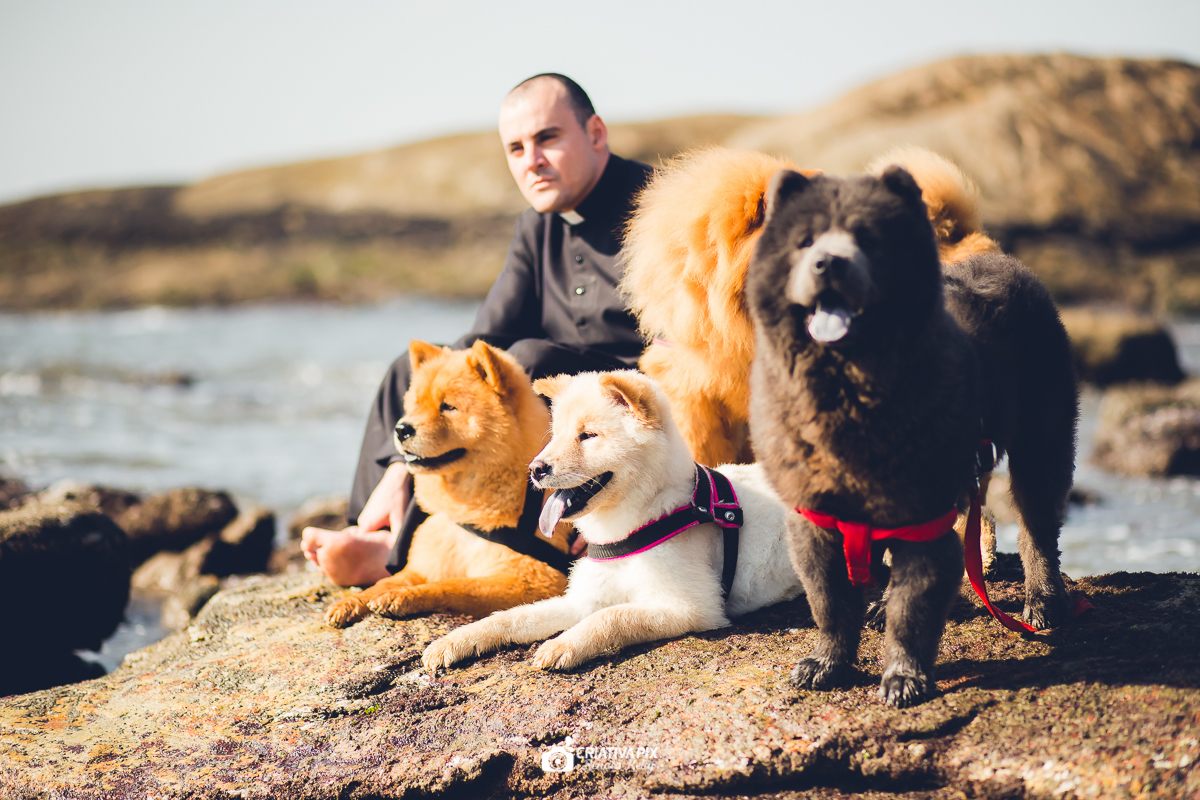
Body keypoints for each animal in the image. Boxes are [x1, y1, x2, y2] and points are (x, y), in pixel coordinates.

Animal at [324, 340, 572, 628]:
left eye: (448, 407)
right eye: (415, 405)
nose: (401, 429)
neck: (467, 510)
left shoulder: (536, 580)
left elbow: (454, 586)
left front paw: (403, 597)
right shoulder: (424, 564)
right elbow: (383, 582)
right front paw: (350, 601)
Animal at [421, 370, 803, 673]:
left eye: (588, 435)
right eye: (556, 435)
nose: (535, 469)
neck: (628, 528)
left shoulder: (693, 608)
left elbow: (612, 616)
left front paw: (564, 644)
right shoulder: (582, 599)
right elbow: (511, 616)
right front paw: (457, 640)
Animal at [745, 165, 1078, 707]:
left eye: (869, 239)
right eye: (804, 240)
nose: (828, 264)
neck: (849, 396)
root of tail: (1004, 259)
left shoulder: (923, 516)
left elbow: (913, 610)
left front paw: (904, 677)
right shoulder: (815, 520)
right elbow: (830, 602)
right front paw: (827, 663)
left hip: (1041, 440)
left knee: (1037, 528)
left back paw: (1043, 602)